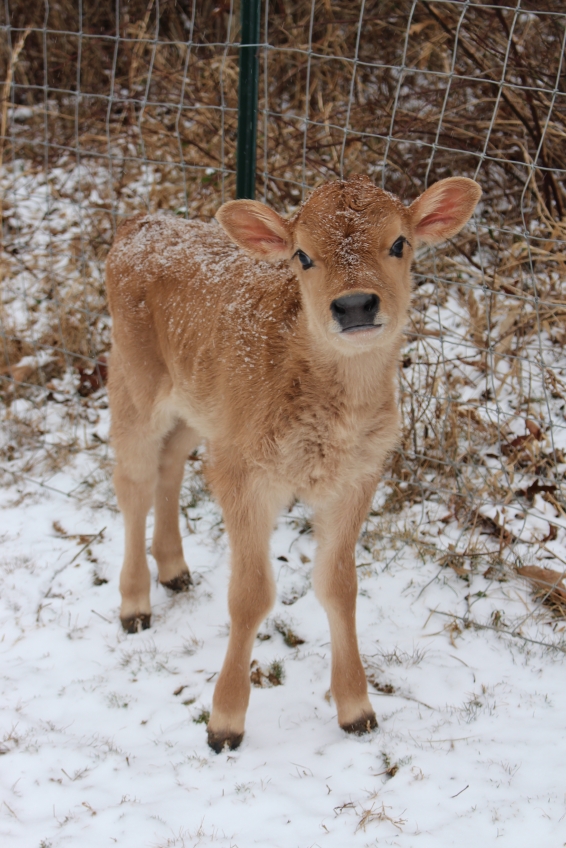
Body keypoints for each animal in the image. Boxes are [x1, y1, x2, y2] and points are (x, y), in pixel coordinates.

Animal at [104, 172, 482, 748]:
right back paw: (135, 604)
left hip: (198, 407)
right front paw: (225, 721)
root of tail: (142, 224)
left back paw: (174, 570)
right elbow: (251, 595)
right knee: (134, 481)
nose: (355, 305)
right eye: (303, 255)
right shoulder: (243, 474)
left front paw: (356, 709)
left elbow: (340, 587)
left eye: (399, 242)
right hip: (133, 383)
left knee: (171, 465)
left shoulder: (358, 477)